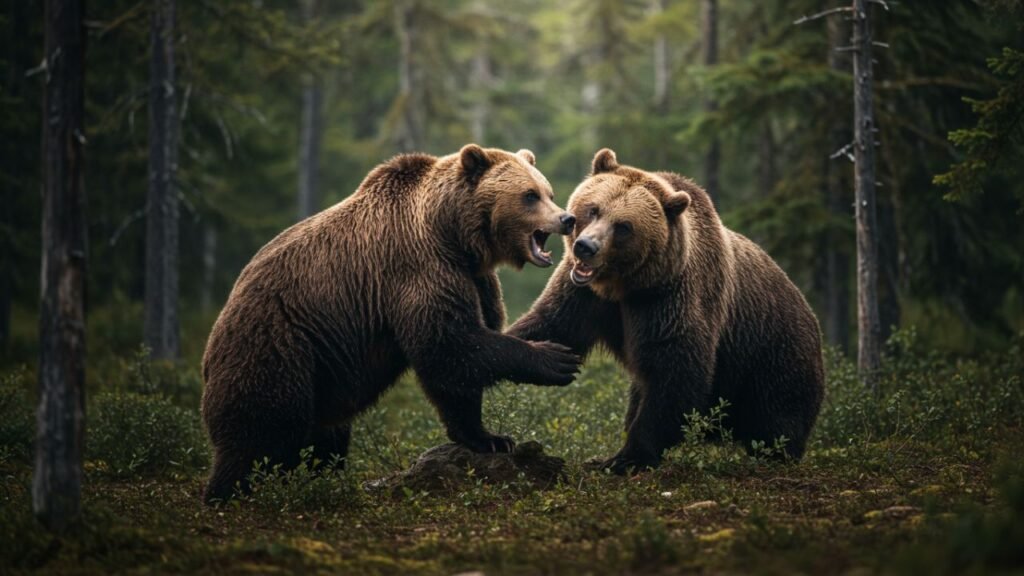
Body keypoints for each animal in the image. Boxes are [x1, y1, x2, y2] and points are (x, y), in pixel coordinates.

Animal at [200, 145, 582, 503]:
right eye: (529, 195)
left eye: (547, 191)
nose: (567, 219)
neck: (453, 234)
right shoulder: (418, 268)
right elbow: (449, 346)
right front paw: (555, 360)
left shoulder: (473, 278)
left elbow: (461, 365)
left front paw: (489, 438)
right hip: (276, 345)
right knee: (263, 427)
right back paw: (230, 490)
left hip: (322, 373)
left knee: (325, 438)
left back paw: (317, 476)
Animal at [507, 149, 824, 474]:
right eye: (593, 209)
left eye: (623, 226)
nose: (585, 246)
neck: (623, 286)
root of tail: (808, 310)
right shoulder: (584, 295)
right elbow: (553, 324)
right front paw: (537, 356)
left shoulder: (669, 299)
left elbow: (674, 373)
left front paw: (626, 457)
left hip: (772, 355)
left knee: (777, 417)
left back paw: (775, 452)